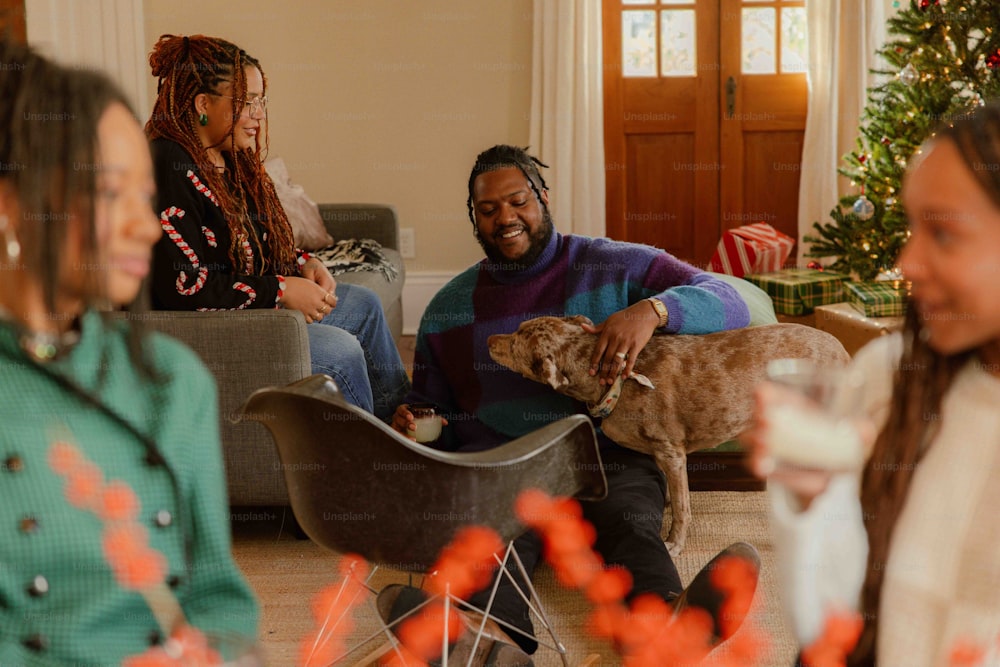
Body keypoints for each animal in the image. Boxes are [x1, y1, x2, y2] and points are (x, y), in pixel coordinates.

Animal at [488, 316, 848, 556]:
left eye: (516, 341)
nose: (490, 339)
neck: (615, 379)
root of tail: (842, 349)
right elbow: (674, 498)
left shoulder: (672, 452)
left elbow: (683, 508)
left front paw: (673, 543)